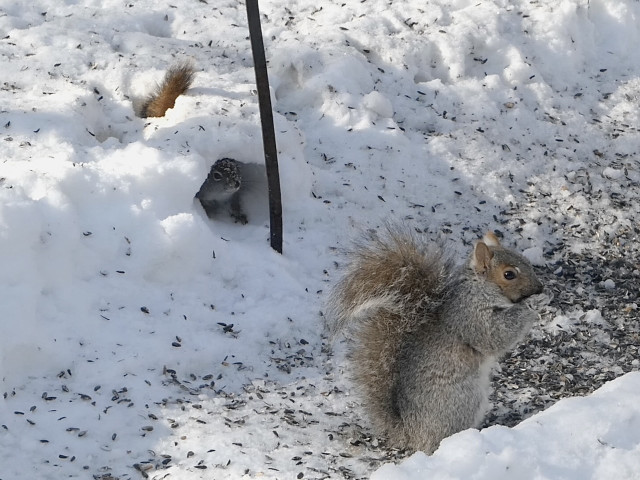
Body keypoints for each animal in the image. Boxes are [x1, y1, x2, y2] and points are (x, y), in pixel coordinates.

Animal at [329, 225, 543, 454]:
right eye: (509, 274)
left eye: (526, 261)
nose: (540, 288)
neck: (478, 288)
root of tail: (409, 434)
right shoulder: (471, 316)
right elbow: (495, 335)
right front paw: (531, 304)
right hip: (461, 402)